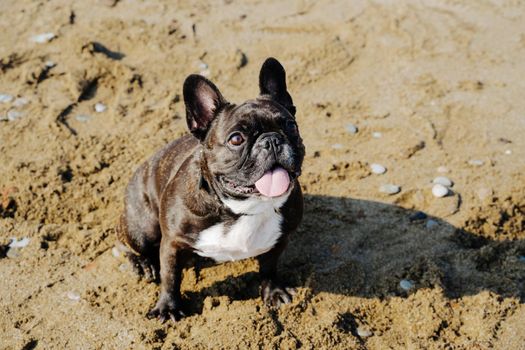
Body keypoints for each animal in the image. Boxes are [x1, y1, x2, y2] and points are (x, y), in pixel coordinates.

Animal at [114, 57, 302, 322]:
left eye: (291, 126)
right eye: (236, 139)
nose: (271, 140)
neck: (241, 209)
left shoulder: (279, 239)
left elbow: (269, 267)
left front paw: (273, 291)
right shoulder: (172, 243)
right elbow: (170, 277)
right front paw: (168, 307)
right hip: (142, 228)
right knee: (125, 241)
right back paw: (143, 264)